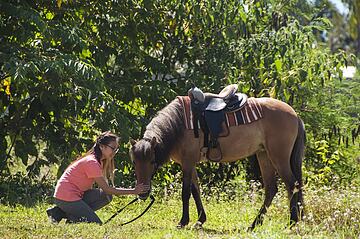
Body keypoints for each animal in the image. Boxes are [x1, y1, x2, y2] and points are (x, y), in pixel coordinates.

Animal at [129, 93, 304, 230]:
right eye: (135, 163)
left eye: (152, 161)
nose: (143, 193)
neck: (179, 124)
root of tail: (294, 114)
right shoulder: (191, 163)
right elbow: (196, 191)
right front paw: (200, 220)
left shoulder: (187, 163)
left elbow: (185, 192)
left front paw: (183, 221)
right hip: (264, 155)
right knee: (272, 189)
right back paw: (255, 224)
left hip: (278, 156)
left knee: (291, 184)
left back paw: (292, 222)